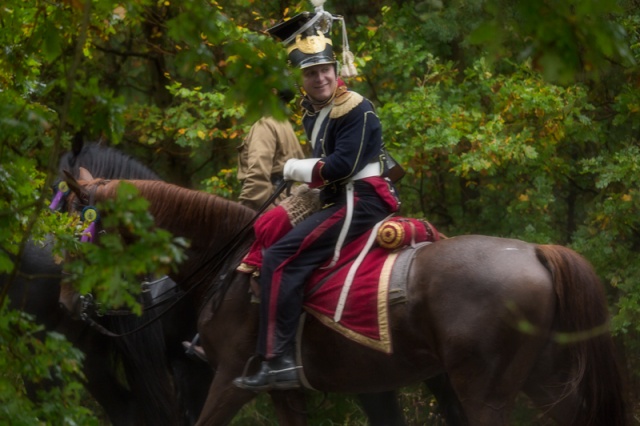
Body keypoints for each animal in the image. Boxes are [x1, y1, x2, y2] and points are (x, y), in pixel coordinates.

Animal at [66, 173, 632, 426]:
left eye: (81, 230)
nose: (70, 300)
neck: (228, 256)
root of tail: (536, 252)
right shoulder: (285, 392)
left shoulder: (228, 380)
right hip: (546, 379)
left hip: (485, 392)